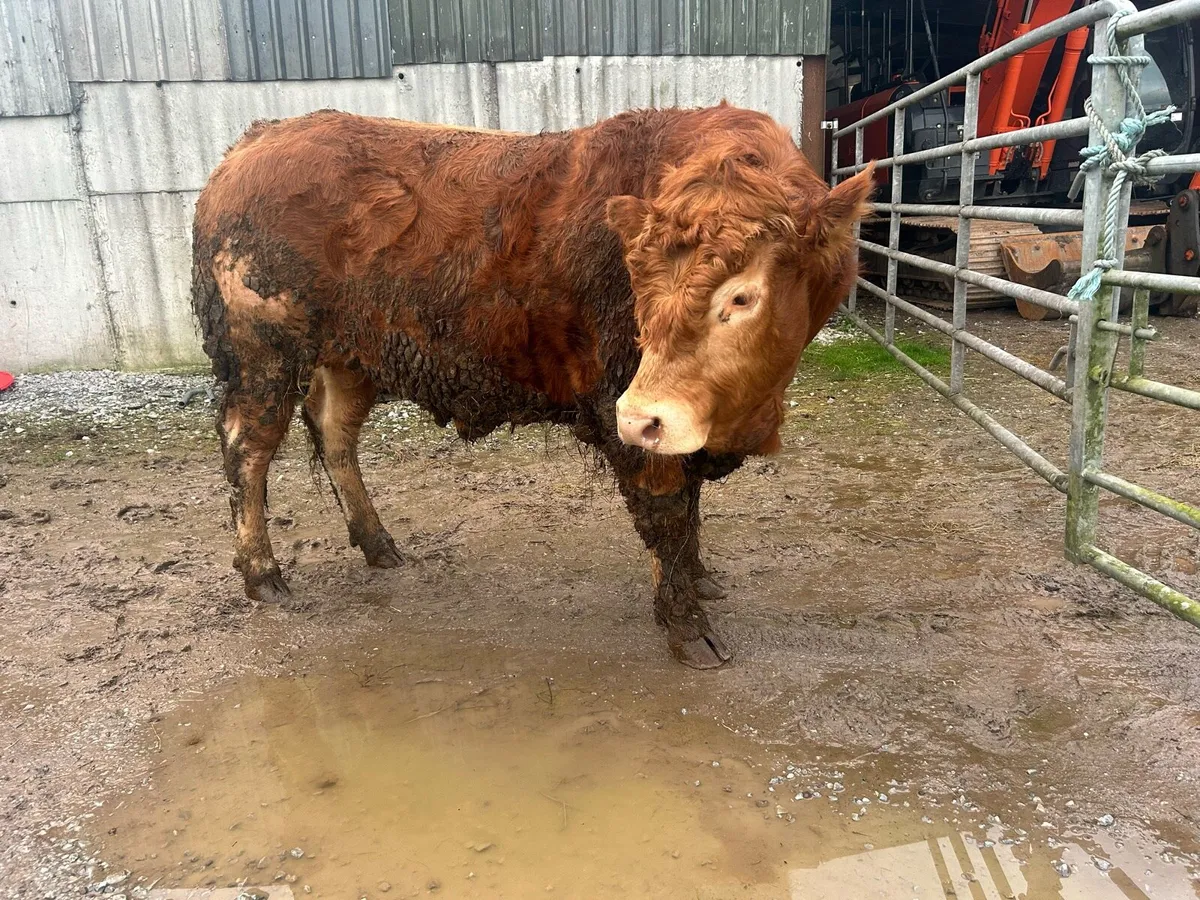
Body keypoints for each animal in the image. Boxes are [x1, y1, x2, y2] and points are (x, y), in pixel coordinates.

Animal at [191, 104, 874, 669]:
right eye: (638, 290)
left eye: (742, 295)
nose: (639, 415)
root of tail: (256, 140)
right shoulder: (626, 405)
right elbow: (667, 514)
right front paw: (688, 625)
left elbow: (690, 510)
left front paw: (702, 576)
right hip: (262, 352)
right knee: (247, 450)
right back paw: (263, 574)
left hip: (352, 356)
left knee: (336, 436)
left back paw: (378, 544)